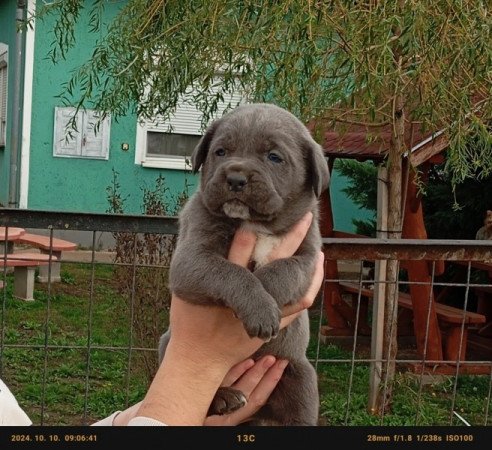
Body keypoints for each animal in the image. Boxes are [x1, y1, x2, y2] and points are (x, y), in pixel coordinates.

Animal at [160, 103, 328, 426]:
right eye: (221, 151)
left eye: (274, 157)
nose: (236, 178)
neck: (256, 224)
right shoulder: (190, 260)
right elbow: (230, 272)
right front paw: (261, 308)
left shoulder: (309, 258)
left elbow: (282, 270)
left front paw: (267, 300)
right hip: (166, 344)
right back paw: (224, 397)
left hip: (301, 377)